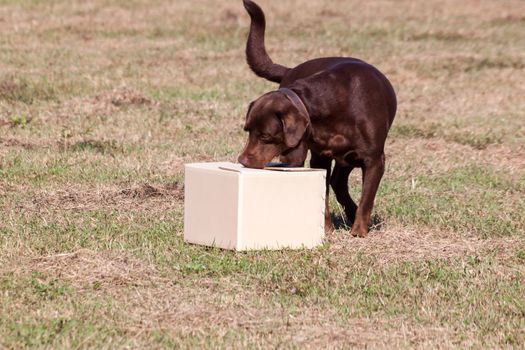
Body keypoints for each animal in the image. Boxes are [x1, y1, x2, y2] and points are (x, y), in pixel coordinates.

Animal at [235, 0, 396, 237]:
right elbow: (323, 196)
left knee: (341, 183)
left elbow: (367, 199)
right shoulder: (319, 157)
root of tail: (290, 70)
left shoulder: (374, 160)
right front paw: (326, 229)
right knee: (337, 182)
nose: (243, 161)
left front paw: (358, 231)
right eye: (247, 131)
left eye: (265, 136)